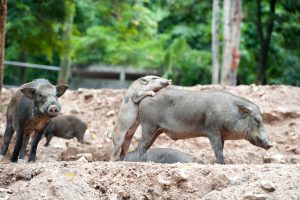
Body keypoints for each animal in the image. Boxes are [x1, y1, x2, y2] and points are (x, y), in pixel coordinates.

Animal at [137, 89, 274, 164]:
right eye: (257, 120)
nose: (270, 144)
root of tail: (142, 102)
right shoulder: (213, 130)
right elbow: (218, 150)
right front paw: (223, 164)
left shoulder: (221, 135)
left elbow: (221, 149)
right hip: (149, 126)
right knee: (141, 146)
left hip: (156, 130)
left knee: (143, 146)